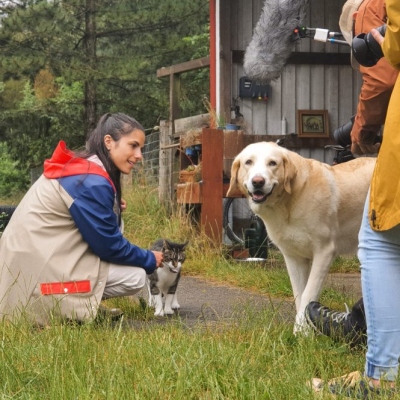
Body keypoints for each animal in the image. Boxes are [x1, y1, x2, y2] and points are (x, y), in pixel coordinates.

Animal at [227, 142, 376, 332]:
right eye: (248, 162)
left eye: (273, 163)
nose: (258, 181)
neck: (288, 202)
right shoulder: (294, 258)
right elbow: (299, 295)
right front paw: (304, 331)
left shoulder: (324, 253)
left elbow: (308, 294)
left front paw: (300, 331)